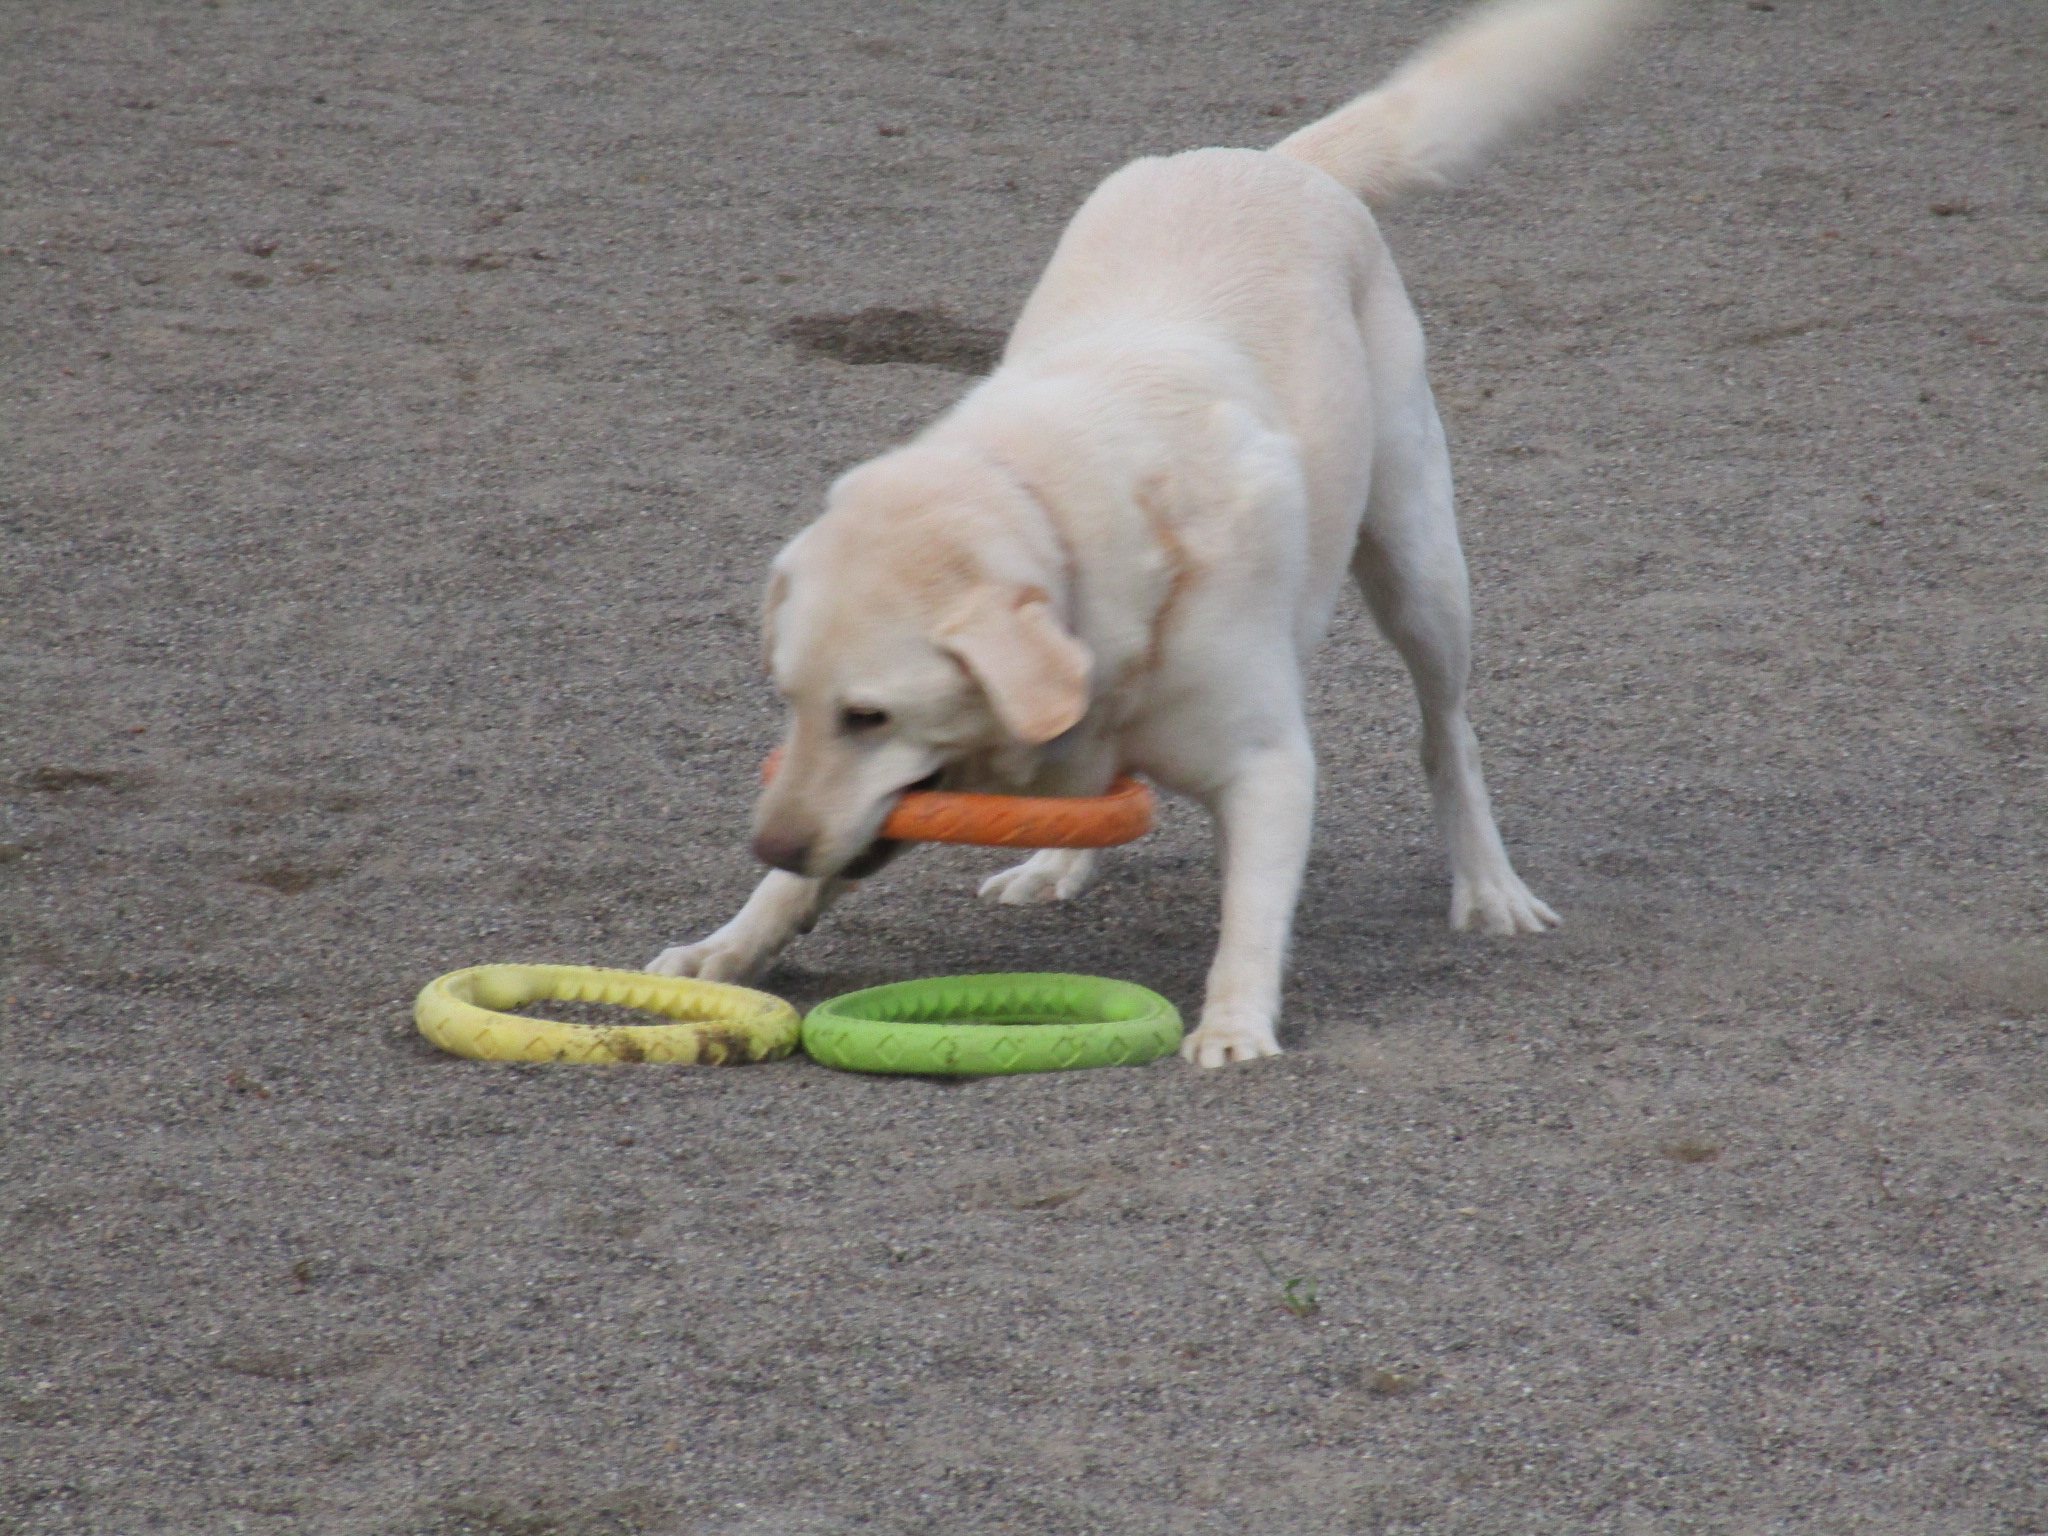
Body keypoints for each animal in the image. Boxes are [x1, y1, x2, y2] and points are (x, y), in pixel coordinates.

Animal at [651, 0, 1646, 1064]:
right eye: (788, 700)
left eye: (869, 715)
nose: (769, 840)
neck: (1057, 520)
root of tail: (1273, 158)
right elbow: (804, 887)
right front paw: (724, 947)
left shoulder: (1268, 766)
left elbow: (1253, 910)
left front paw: (1234, 1026)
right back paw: (1050, 864)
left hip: (1418, 564)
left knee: (1447, 732)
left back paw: (1489, 886)